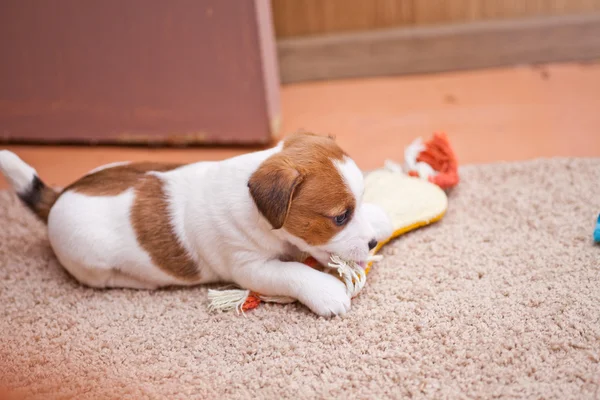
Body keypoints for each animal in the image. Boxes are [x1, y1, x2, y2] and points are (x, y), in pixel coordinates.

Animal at [0, 133, 392, 318]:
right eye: (339, 217)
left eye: (356, 205)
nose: (372, 243)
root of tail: (58, 196)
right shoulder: (249, 267)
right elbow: (293, 272)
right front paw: (326, 291)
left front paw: (381, 215)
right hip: (91, 263)